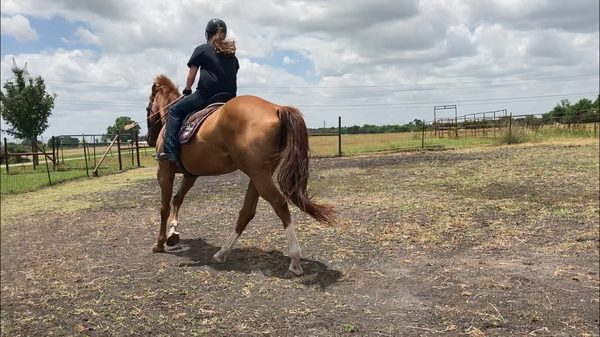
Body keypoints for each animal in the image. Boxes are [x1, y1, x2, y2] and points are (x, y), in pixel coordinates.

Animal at [147, 75, 338, 274]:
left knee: (279, 204)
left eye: (149, 104)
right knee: (247, 212)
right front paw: (173, 233)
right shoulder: (190, 175)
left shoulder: (164, 170)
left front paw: (160, 243)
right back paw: (222, 252)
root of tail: (276, 108)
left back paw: (294, 259)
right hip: (258, 175)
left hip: (259, 175)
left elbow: (164, 207)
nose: (149, 138)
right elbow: (177, 199)